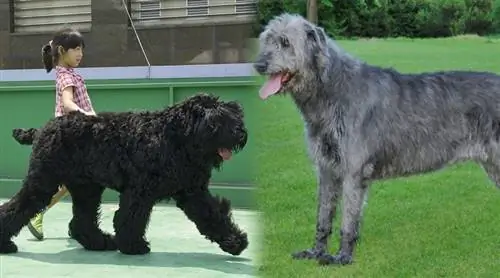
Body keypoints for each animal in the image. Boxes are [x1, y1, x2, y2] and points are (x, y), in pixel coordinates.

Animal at [0, 94, 249, 256]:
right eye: (216, 120)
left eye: (235, 114)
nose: (240, 133)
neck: (175, 136)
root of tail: (41, 130)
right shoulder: (140, 190)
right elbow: (129, 218)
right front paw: (133, 246)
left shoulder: (193, 192)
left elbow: (213, 215)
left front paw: (235, 241)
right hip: (43, 183)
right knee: (16, 208)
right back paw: (6, 245)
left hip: (86, 189)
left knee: (82, 222)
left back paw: (100, 242)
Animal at [256, 12, 500, 264]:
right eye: (267, 39)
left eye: (285, 42)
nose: (259, 65)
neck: (333, 89)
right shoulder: (326, 169)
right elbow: (323, 216)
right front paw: (316, 252)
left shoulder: (353, 171)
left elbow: (348, 219)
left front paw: (342, 257)